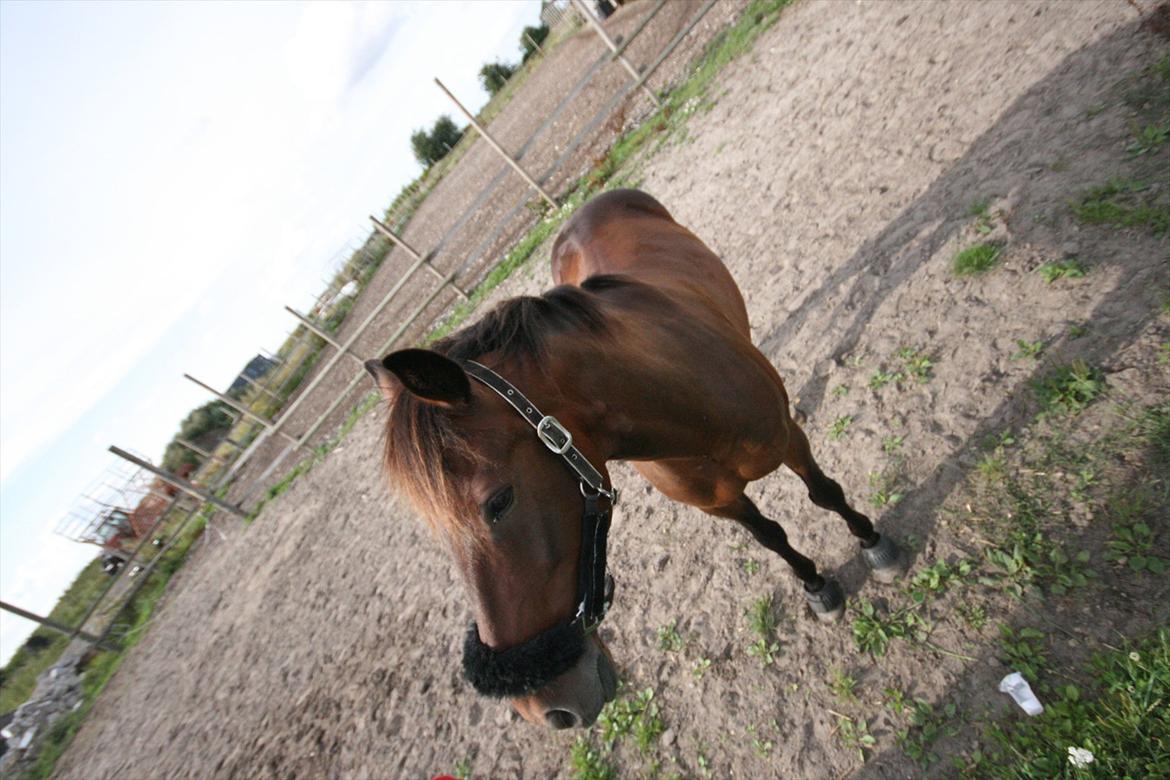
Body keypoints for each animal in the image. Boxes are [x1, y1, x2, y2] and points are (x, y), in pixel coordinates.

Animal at [365, 189, 902, 730]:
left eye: (499, 502)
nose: (546, 710)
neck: (687, 407)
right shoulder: (720, 503)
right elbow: (772, 536)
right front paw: (815, 584)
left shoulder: (789, 440)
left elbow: (824, 493)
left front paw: (874, 543)